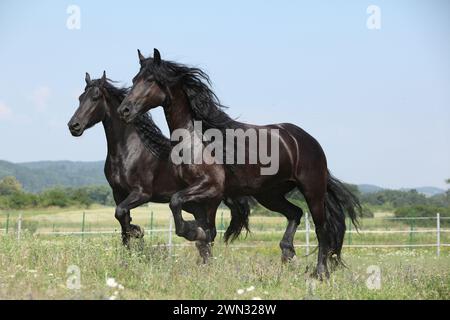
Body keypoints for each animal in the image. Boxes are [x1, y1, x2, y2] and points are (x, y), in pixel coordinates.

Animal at [67, 72, 250, 260]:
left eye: (95, 97)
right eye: (80, 98)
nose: (73, 126)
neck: (129, 151)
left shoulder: (142, 193)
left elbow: (121, 214)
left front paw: (138, 231)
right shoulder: (118, 193)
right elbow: (122, 222)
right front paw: (129, 251)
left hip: (208, 204)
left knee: (209, 234)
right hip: (194, 206)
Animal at [118, 49, 360, 278]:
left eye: (150, 80)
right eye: (134, 79)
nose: (124, 110)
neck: (196, 141)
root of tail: (306, 140)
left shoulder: (211, 190)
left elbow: (183, 210)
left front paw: (193, 233)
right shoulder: (202, 197)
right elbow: (202, 230)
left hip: (312, 190)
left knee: (322, 229)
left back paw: (321, 273)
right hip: (270, 195)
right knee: (295, 214)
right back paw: (287, 255)